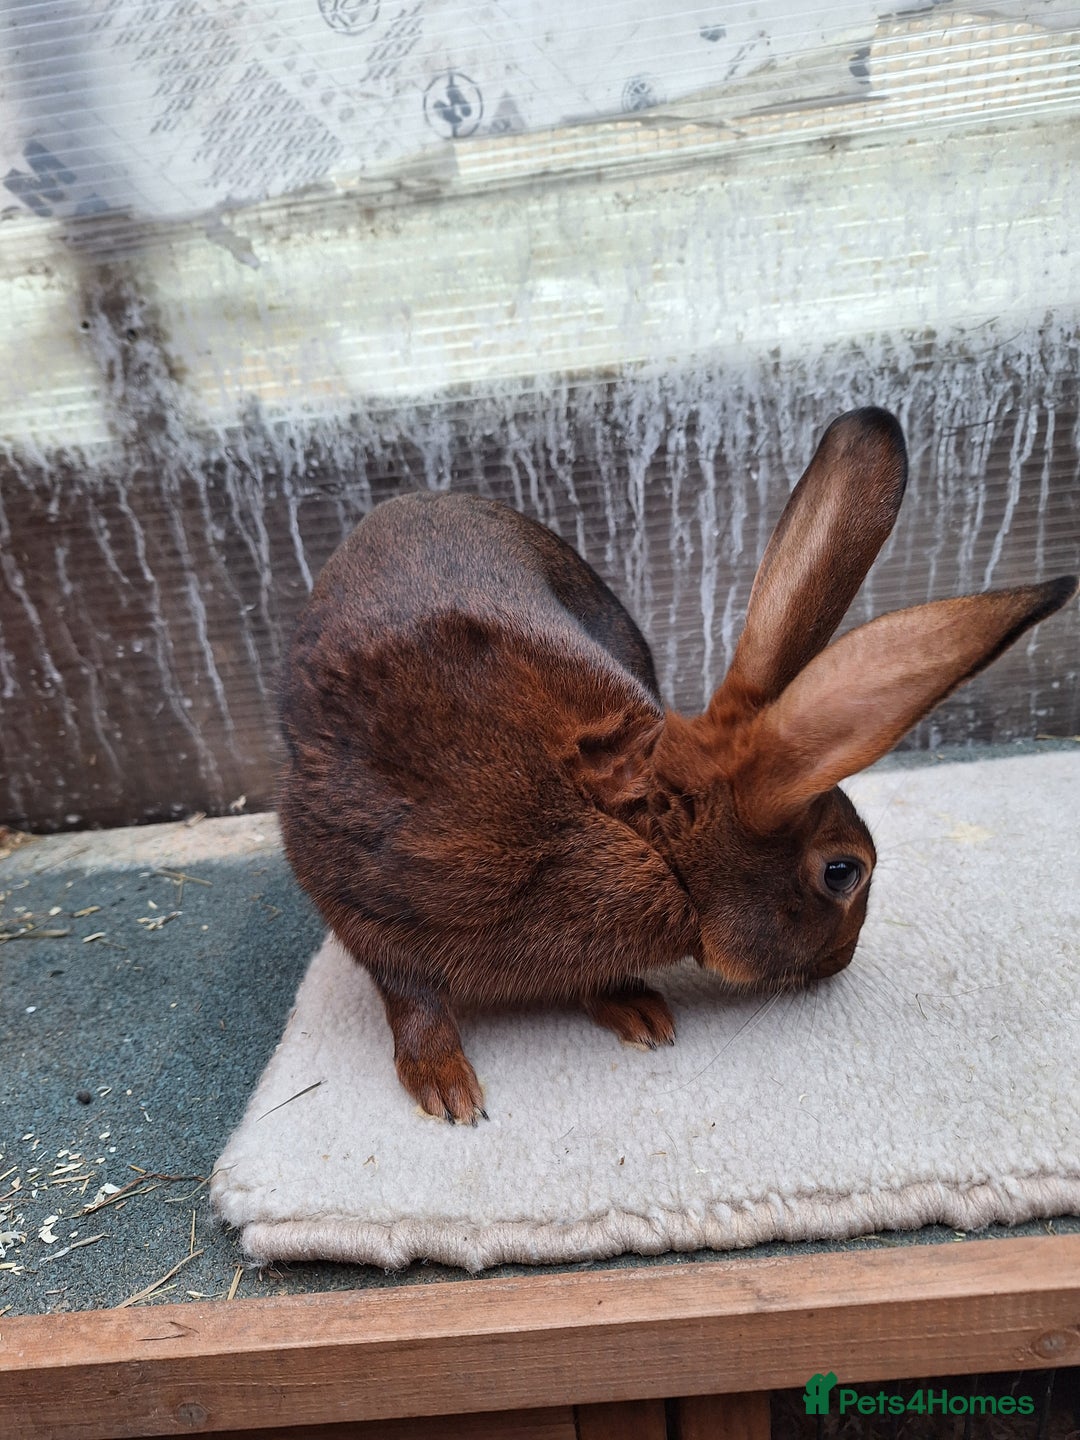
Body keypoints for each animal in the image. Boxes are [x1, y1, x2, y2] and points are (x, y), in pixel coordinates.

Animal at [279, 407, 1077, 1123]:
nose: (841, 962)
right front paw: (447, 1092)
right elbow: (411, 998)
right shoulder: (367, 904)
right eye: (843, 872)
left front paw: (638, 1012)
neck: (646, 832)